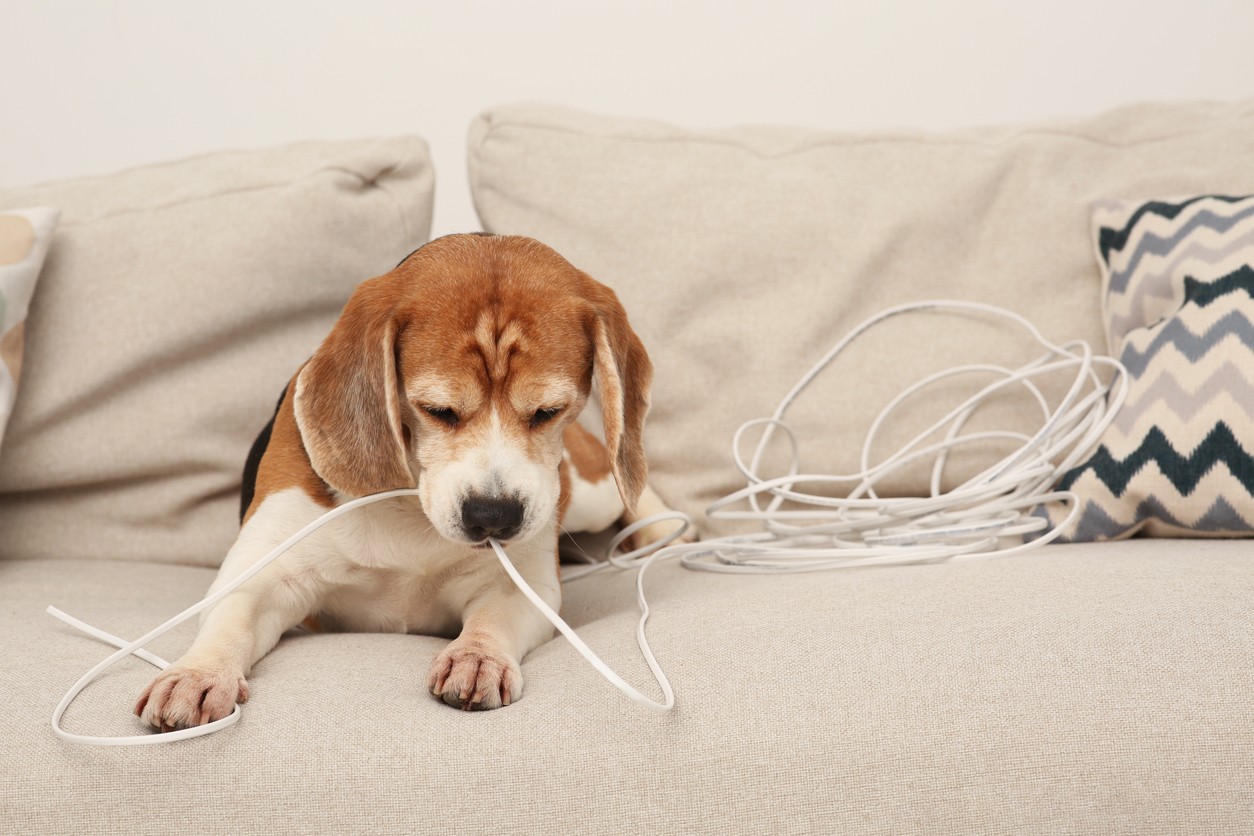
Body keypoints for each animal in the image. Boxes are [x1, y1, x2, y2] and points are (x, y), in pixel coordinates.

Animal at [133, 235, 682, 731]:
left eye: (548, 411)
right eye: (437, 410)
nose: (493, 516)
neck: (412, 511)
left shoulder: (524, 585)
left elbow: (492, 618)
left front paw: (477, 657)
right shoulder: (263, 575)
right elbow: (231, 621)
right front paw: (196, 676)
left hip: (585, 491)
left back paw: (663, 531)